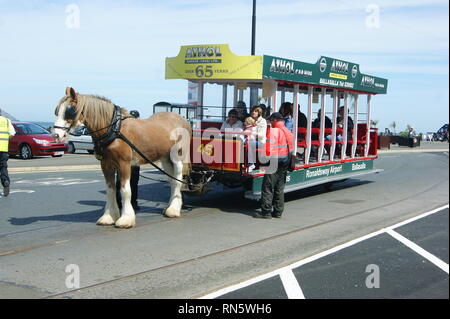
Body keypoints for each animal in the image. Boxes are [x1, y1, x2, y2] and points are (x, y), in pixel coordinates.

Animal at [51, 86, 192, 229]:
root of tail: (182, 120)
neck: (114, 129)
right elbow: (111, 190)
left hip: (178, 156)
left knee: (177, 180)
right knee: (171, 179)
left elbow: (125, 190)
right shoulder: (106, 164)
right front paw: (108, 216)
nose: (56, 135)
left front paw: (126, 218)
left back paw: (173, 209)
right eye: (57, 111)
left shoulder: (124, 163)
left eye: (70, 111)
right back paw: (169, 207)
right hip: (165, 158)